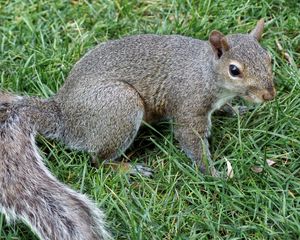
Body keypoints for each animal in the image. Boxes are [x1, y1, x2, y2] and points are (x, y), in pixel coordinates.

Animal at [0, 19, 276, 240]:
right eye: (234, 70)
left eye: (269, 58)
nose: (269, 95)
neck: (206, 71)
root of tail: (63, 116)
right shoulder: (189, 106)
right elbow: (191, 140)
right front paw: (215, 175)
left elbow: (225, 108)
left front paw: (237, 111)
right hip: (121, 107)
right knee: (98, 161)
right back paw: (129, 169)